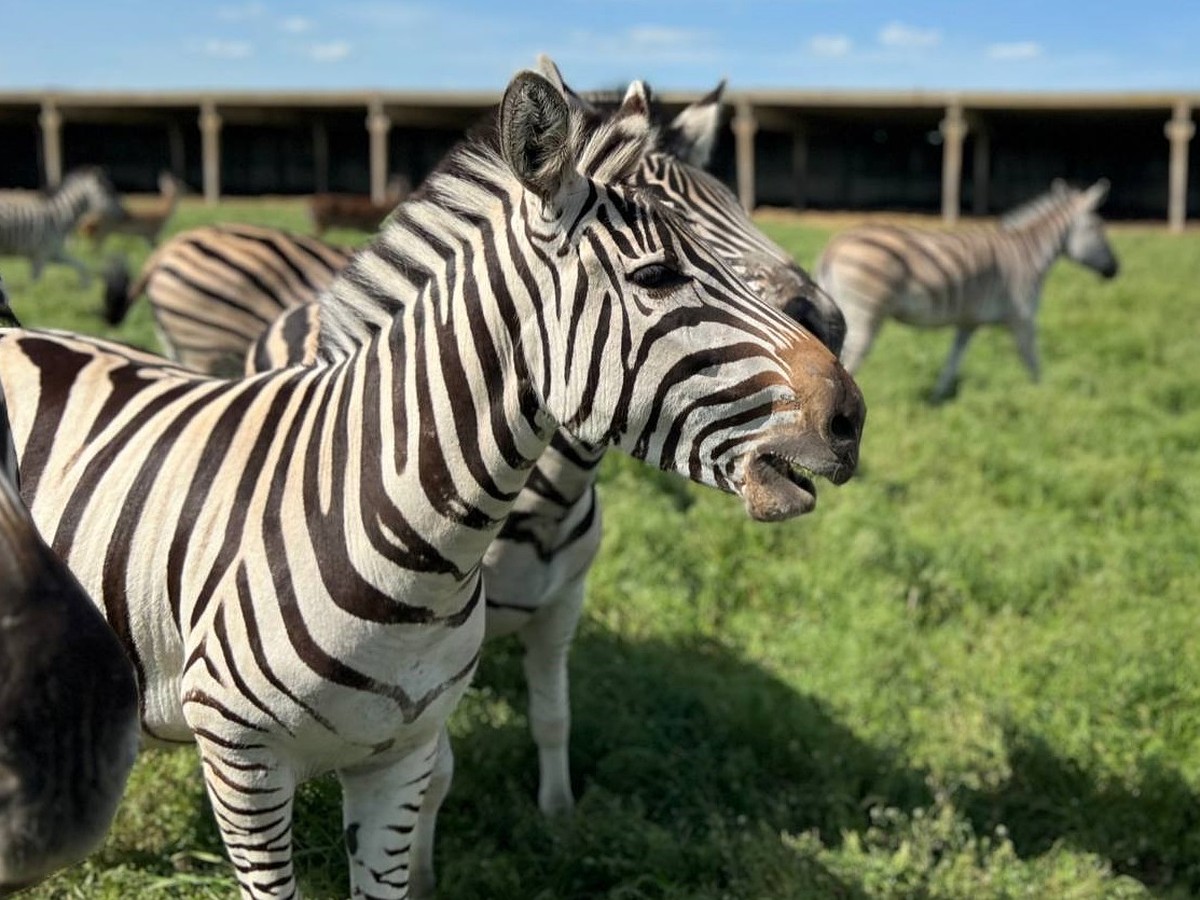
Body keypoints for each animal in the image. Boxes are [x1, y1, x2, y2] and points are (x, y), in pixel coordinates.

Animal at [820, 177, 1118, 400]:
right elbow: (1032, 359)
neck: (1029, 254)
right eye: (1098, 227)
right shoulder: (1022, 316)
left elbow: (953, 360)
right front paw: (1044, 396)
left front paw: (937, 398)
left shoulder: (969, 321)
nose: (1115, 270)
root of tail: (834, 246)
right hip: (864, 314)